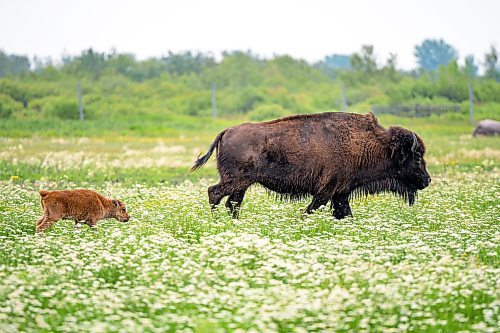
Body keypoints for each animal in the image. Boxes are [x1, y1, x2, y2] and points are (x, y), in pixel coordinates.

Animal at [190, 112, 430, 218]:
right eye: (417, 156)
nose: (427, 180)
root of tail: (226, 131)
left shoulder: (340, 193)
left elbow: (344, 213)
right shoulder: (327, 190)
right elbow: (312, 209)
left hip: (242, 185)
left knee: (232, 203)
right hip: (236, 181)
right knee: (214, 192)